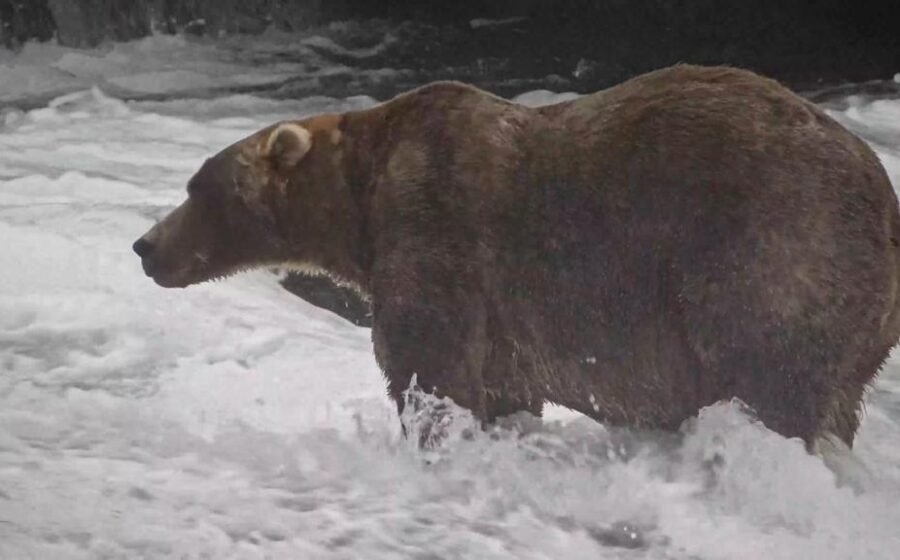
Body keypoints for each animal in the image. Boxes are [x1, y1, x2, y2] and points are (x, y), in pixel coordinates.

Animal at [133, 64, 900, 450]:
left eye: (197, 187)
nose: (145, 246)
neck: (359, 202)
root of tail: (883, 194)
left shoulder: (437, 228)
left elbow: (429, 363)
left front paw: (431, 434)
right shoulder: (502, 318)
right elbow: (500, 387)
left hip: (770, 247)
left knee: (770, 373)